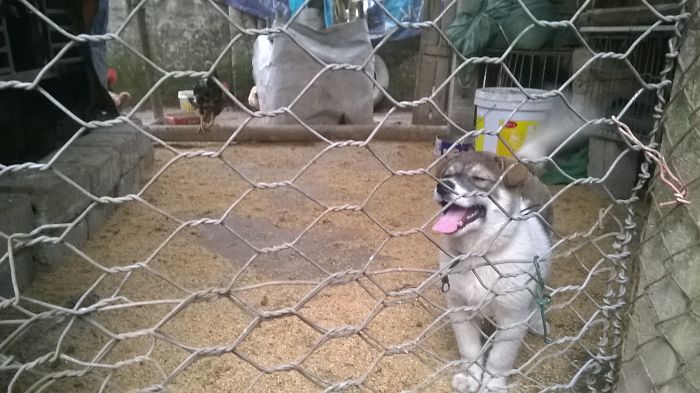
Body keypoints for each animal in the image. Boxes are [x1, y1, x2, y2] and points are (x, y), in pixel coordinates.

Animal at [430, 151, 556, 392]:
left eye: (479, 179)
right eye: (448, 175)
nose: (443, 186)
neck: (478, 257)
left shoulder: (512, 316)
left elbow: (500, 357)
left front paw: (493, 384)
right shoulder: (459, 310)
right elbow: (469, 350)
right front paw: (471, 378)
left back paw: (536, 321)